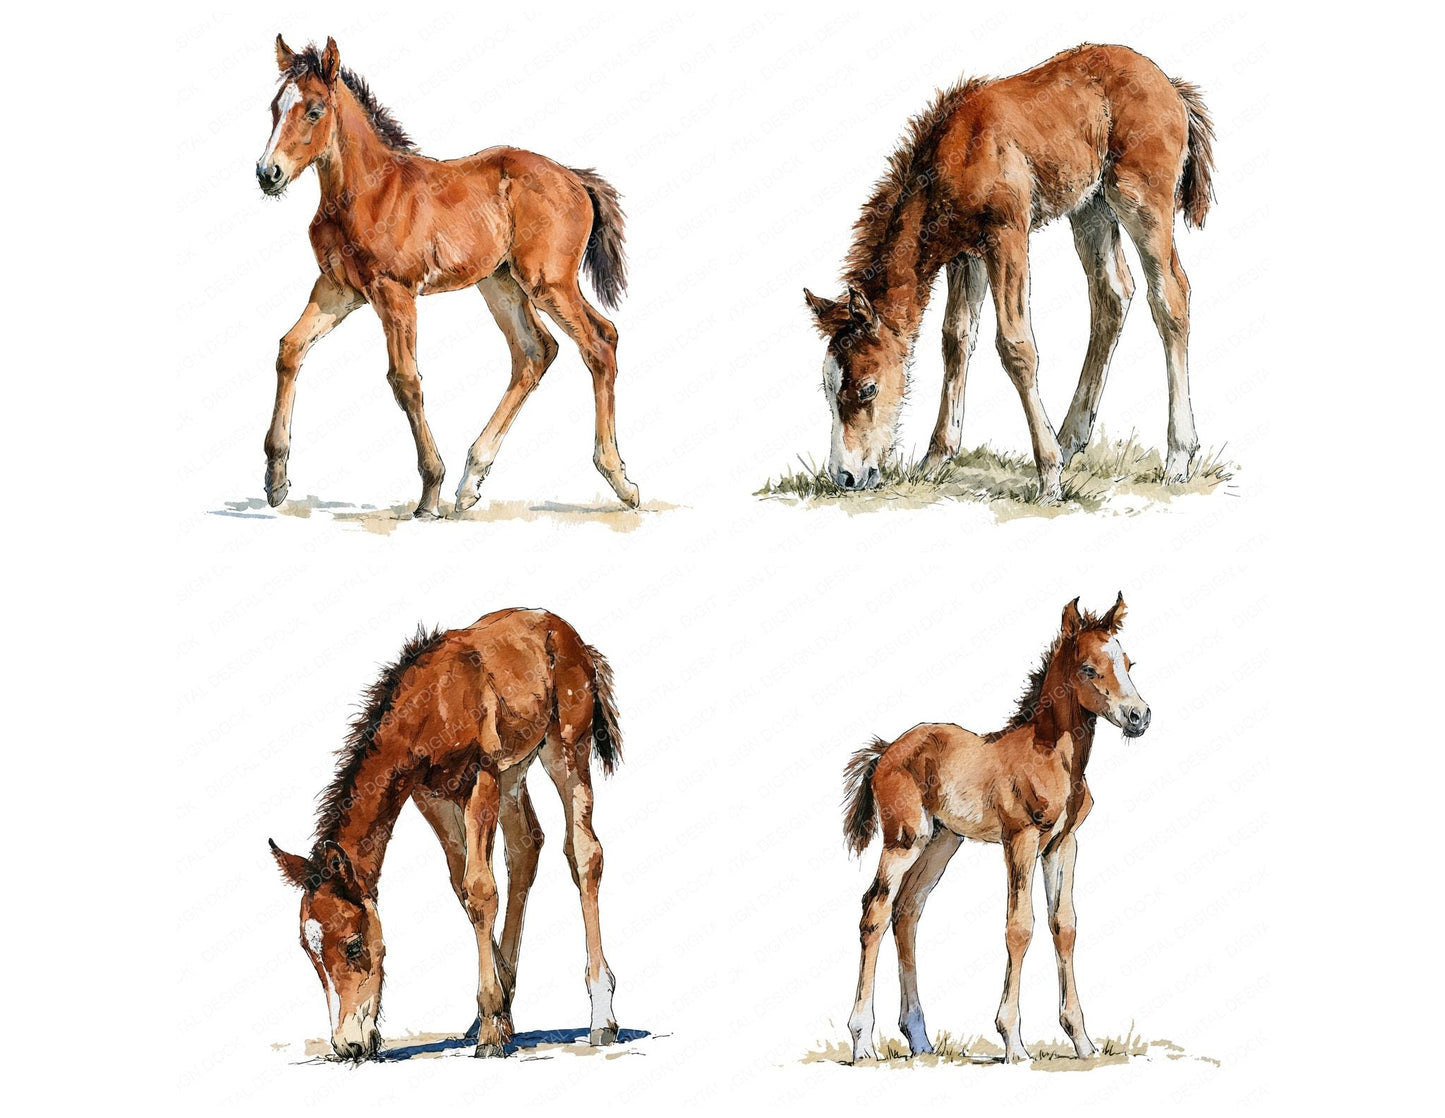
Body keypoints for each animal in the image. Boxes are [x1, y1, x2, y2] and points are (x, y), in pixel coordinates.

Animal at [255, 36, 640, 518]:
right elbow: (289, 349)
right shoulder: (337, 290)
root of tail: (574, 178)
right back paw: (472, 479)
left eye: (314, 110)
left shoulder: (395, 293)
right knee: (536, 351)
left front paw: (429, 490)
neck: (368, 191)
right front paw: (275, 479)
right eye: (275, 107)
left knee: (599, 341)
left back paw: (620, 479)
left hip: (547, 282)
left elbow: (405, 381)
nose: (267, 173)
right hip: (501, 283)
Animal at [268, 608, 625, 1059]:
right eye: (307, 950)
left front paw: (491, 1032)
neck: (433, 701)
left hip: (565, 747)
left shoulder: (481, 777)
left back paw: (602, 1018)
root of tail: (564, 629)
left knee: (584, 852)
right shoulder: (431, 795)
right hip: (514, 772)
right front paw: (496, 1016)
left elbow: (481, 889)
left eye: (352, 946)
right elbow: (462, 885)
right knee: (525, 848)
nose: (348, 1045)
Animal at [804, 44, 1215, 499]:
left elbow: (1016, 347)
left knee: (1170, 297)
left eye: (868, 388)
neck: (957, 153)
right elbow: (955, 339)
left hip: (1141, 200)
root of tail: (1170, 86)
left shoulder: (1008, 236)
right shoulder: (965, 256)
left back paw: (1177, 458)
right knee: (1112, 295)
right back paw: (1070, 439)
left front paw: (1049, 478)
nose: (845, 477)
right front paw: (936, 459)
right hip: (1090, 208)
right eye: (827, 387)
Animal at [840, 594, 1149, 1063]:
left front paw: (1083, 1042)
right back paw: (863, 1043)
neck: (1051, 757)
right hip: (904, 839)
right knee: (875, 909)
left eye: (1128, 663)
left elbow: (1065, 926)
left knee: (907, 911)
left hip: (942, 842)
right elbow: (1019, 926)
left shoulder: (1063, 843)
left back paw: (920, 1039)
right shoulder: (1019, 838)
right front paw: (1014, 1043)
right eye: (1088, 669)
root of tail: (887, 750)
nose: (1139, 716)